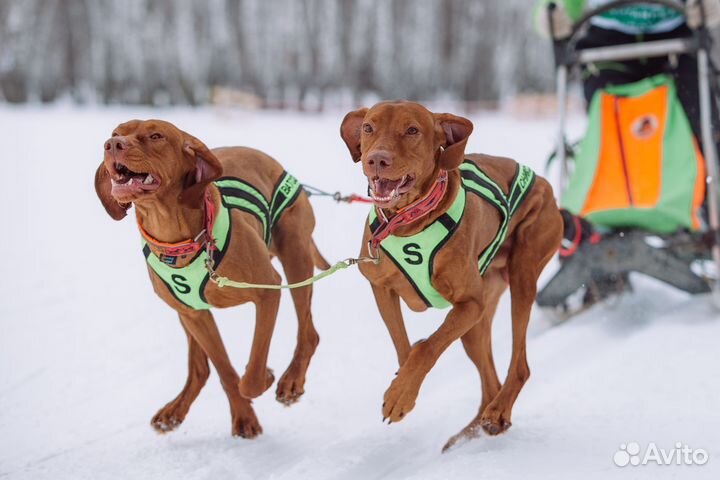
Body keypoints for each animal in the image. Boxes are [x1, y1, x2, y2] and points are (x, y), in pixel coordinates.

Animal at [94, 120, 328, 438]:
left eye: (156, 136)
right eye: (116, 133)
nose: (112, 145)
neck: (180, 239)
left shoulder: (268, 290)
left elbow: (252, 374)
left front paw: (265, 378)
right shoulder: (196, 315)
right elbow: (225, 371)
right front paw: (244, 417)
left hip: (295, 255)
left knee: (309, 332)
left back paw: (292, 381)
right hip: (186, 313)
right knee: (199, 368)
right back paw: (174, 411)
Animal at [340, 100, 564, 450]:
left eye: (412, 130)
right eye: (368, 127)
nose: (377, 158)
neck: (408, 221)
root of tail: (543, 182)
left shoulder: (470, 303)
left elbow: (426, 348)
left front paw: (401, 396)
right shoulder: (381, 288)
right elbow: (404, 346)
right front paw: (402, 384)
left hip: (523, 274)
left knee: (520, 366)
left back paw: (498, 411)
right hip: (476, 323)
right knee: (490, 381)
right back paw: (471, 430)